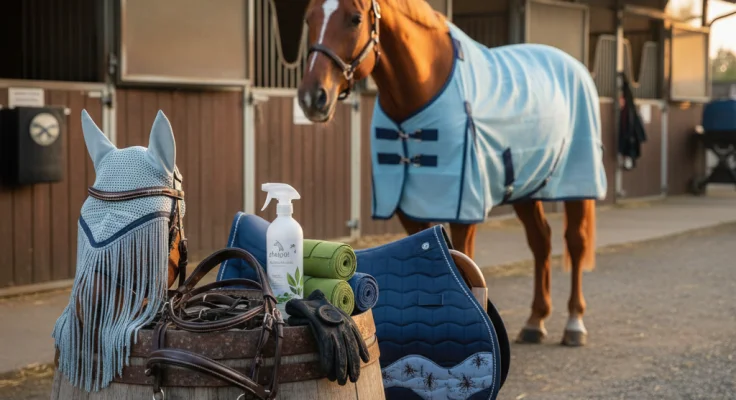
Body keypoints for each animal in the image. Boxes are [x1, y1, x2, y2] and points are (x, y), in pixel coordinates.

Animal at [296, 0, 607, 347]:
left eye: (355, 19)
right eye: (309, 18)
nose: (312, 97)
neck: (423, 88)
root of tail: (575, 66)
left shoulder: (463, 210)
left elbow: (464, 260)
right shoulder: (409, 209)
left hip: (577, 186)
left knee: (575, 243)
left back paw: (574, 324)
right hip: (526, 190)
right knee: (541, 242)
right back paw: (535, 321)